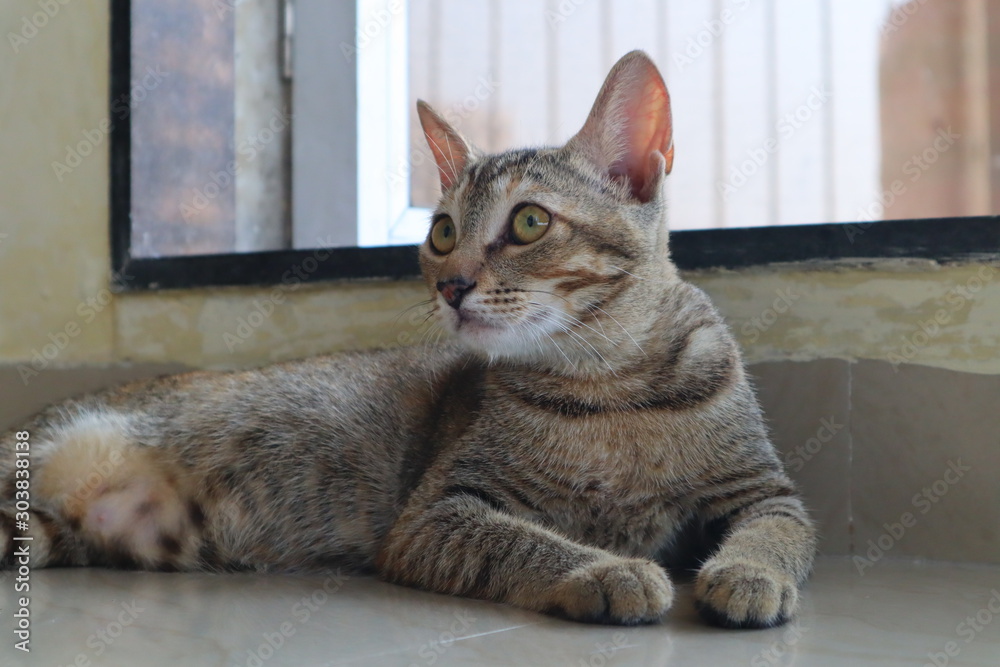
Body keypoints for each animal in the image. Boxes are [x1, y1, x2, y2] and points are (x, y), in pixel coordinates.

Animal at [0, 51, 812, 628]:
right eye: (442, 232)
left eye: (529, 222)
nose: (451, 283)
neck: (607, 385)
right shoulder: (437, 513)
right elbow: (526, 541)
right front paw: (603, 568)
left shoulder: (763, 490)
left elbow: (777, 533)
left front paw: (748, 574)